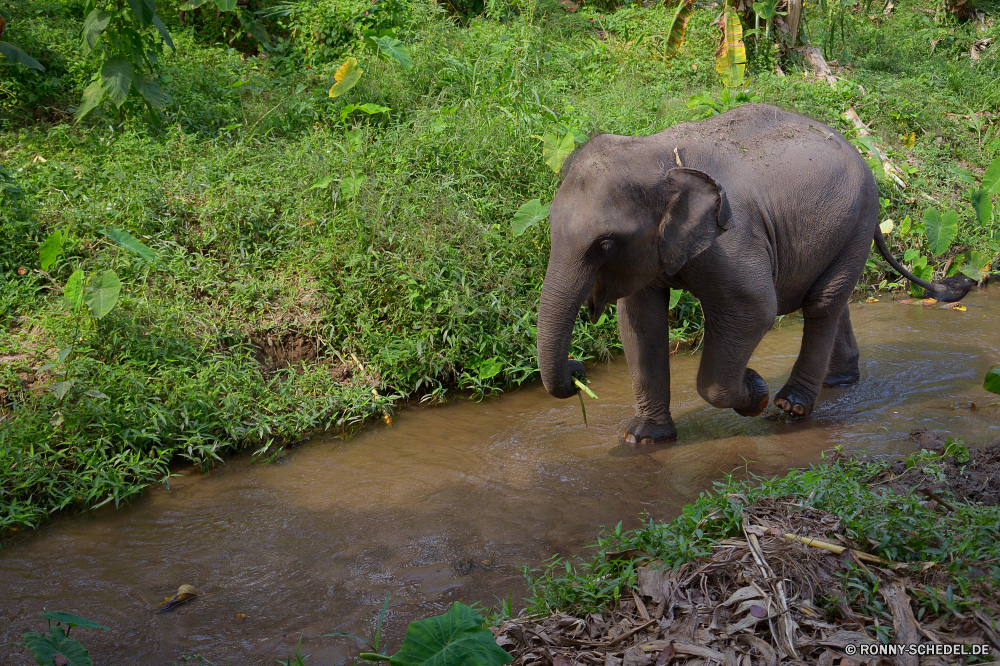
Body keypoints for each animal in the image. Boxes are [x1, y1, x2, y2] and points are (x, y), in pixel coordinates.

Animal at [536, 104, 972, 444]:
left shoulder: (732, 238)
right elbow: (640, 324)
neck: (657, 152)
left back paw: (791, 406)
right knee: (832, 299)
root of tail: (860, 149)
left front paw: (756, 389)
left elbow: (755, 309)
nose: (577, 369)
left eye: (605, 245)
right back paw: (840, 382)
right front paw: (642, 438)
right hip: (843, 227)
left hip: (858, 222)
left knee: (822, 303)